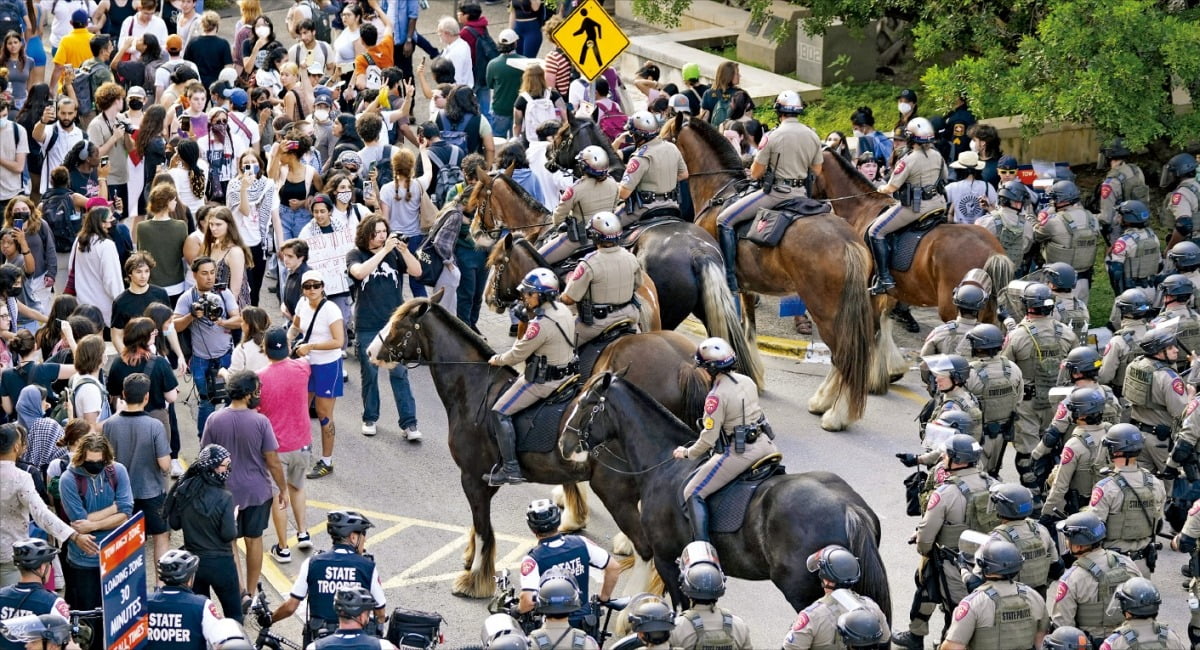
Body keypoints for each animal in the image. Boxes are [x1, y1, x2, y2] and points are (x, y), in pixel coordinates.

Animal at [369, 295, 705, 602]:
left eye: (399, 326)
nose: (371, 351)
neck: (474, 388)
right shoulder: (483, 480)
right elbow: (479, 526)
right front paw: (470, 559)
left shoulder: (472, 477)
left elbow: (484, 528)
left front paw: (473, 580)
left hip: (615, 495)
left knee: (646, 551)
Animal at [561, 374, 892, 618]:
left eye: (586, 403)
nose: (564, 443)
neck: (664, 463)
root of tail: (850, 508)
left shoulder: (667, 559)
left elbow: (681, 610)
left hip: (803, 591)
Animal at [667, 117, 873, 434]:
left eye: (665, 134)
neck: (721, 189)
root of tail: (847, 241)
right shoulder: (746, 287)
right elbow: (748, 328)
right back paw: (824, 402)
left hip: (825, 310)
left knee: (843, 356)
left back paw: (835, 415)